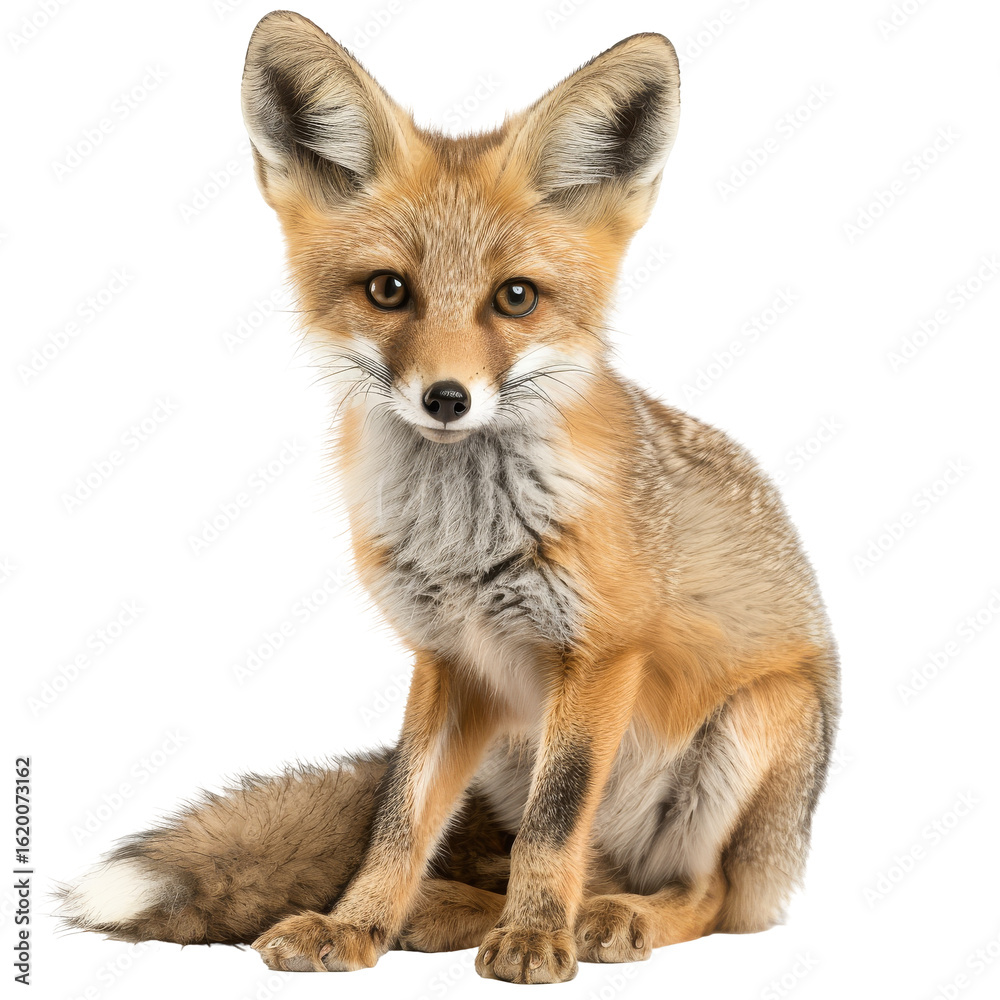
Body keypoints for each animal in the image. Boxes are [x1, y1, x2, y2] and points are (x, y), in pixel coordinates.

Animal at [56, 10, 840, 985]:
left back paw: (610, 919)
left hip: (749, 731)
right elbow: (398, 822)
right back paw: (451, 910)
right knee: (540, 862)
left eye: (516, 298)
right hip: (508, 741)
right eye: (389, 289)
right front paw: (355, 925)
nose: (447, 398)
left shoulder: (599, 655)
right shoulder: (449, 662)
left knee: (705, 895)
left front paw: (535, 939)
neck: (465, 543)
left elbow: (553, 824)